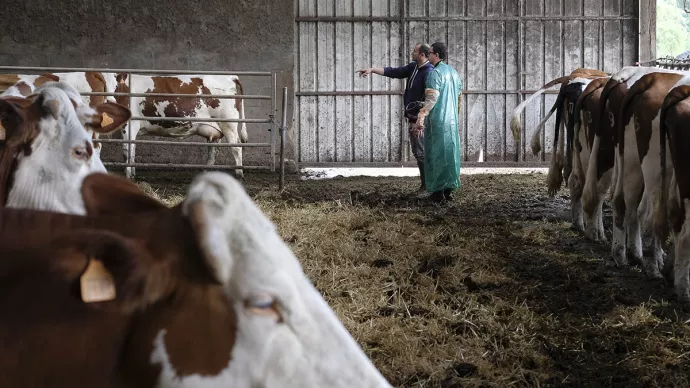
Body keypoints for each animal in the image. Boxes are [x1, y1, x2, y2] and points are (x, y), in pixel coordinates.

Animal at [608, 69, 684, 276]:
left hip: (630, 157)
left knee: (625, 201)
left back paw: (624, 254)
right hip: (656, 165)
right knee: (652, 216)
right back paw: (653, 265)